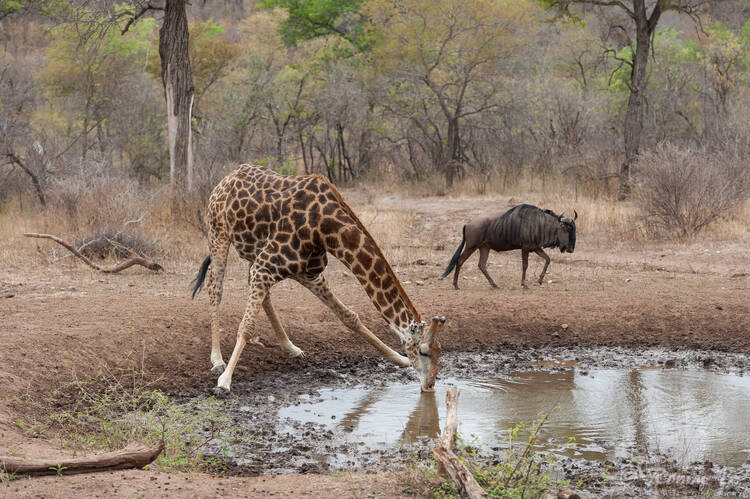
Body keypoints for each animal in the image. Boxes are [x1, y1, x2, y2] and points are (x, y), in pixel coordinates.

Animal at [191, 164, 446, 395]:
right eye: (422, 351)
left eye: (441, 351)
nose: (430, 385)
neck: (326, 228)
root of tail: (224, 180)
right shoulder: (266, 266)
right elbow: (246, 327)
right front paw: (225, 381)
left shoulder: (307, 273)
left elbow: (349, 316)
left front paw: (398, 359)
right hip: (218, 234)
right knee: (215, 288)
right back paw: (217, 360)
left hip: (254, 253)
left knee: (262, 295)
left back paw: (291, 348)